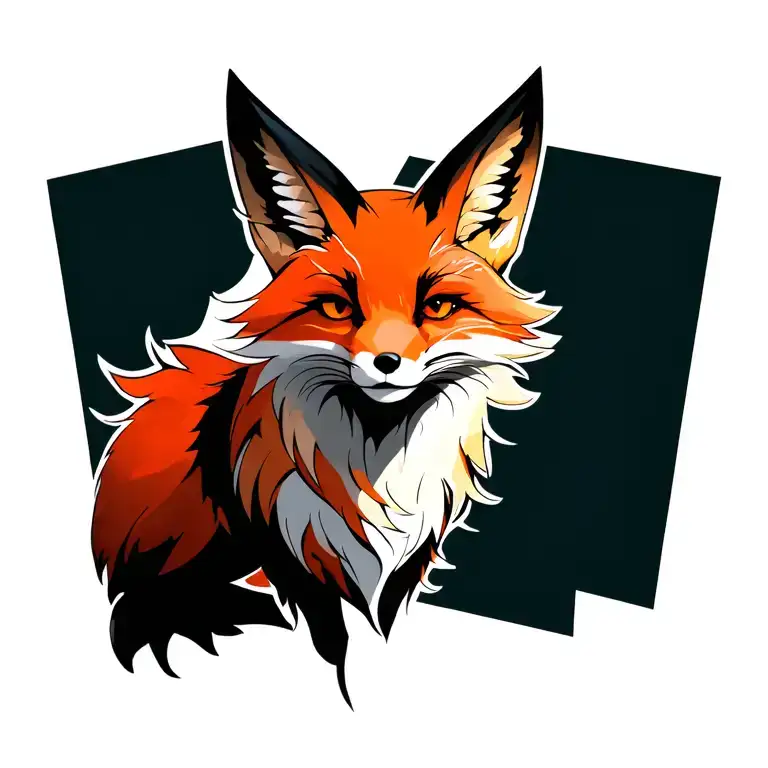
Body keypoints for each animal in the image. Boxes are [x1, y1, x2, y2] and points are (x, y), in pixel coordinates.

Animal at [92, 67, 558, 707]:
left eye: (436, 306)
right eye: (338, 307)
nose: (386, 362)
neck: (375, 471)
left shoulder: (401, 568)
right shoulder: (293, 560)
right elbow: (333, 652)